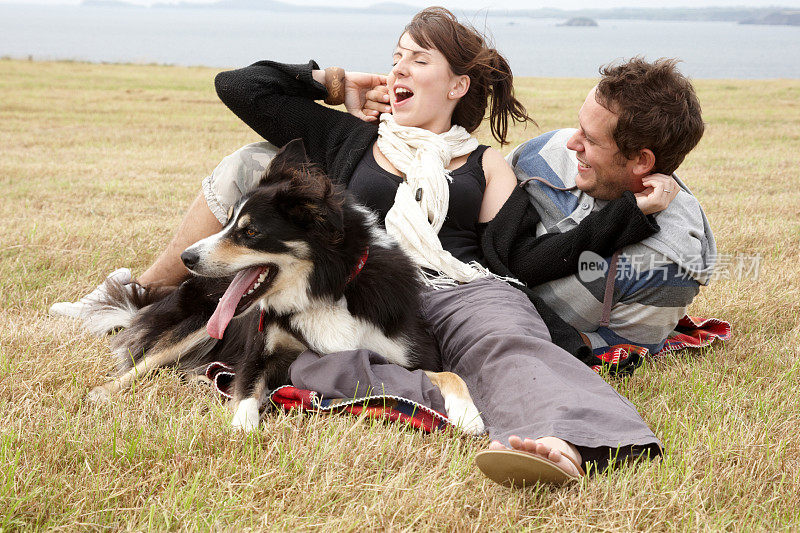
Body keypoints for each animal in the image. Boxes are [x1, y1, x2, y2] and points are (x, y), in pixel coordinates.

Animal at [90, 139, 484, 434]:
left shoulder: (406, 353)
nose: (187, 257)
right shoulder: (259, 349)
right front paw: (242, 428)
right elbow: (247, 390)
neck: (325, 293)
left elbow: (449, 374)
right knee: (142, 362)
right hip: (196, 324)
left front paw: (469, 415)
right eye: (228, 221)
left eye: (250, 232)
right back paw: (101, 393)